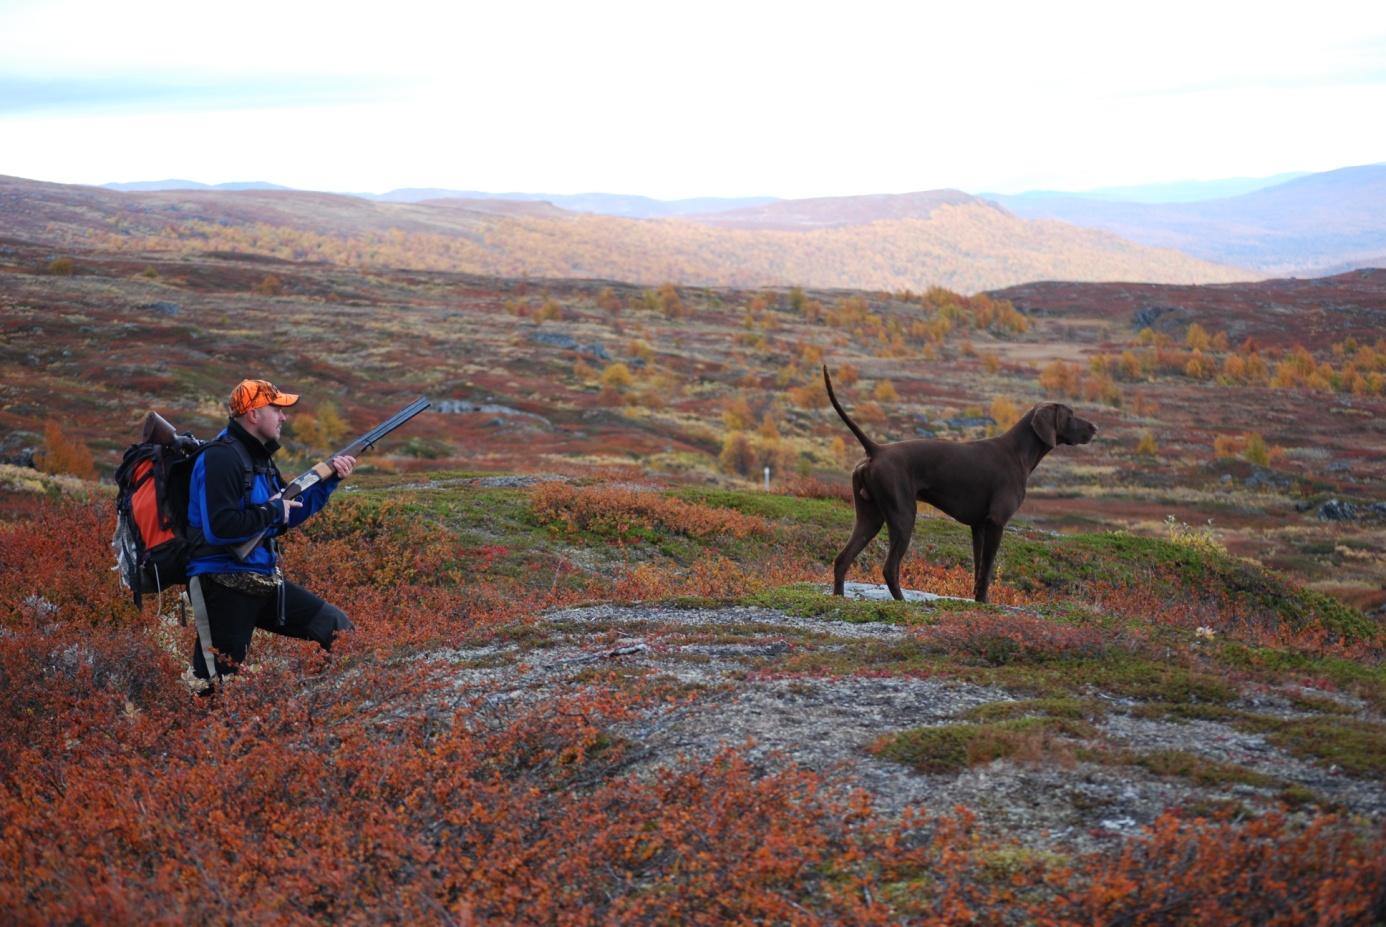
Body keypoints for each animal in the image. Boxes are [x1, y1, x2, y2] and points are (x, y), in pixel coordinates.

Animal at [820, 365, 1092, 604]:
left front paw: (978, 601)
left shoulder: (979, 527)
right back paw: (901, 602)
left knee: (842, 559)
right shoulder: (996, 522)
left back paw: (839, 597)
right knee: (889, 568)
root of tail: (876, 450)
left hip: (870, 518)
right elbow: (987, 571)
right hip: (903, 518)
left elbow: (979, 570)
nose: (1095, 428)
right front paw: (984, 603)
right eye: (1070, 416)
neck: (1017, 453)